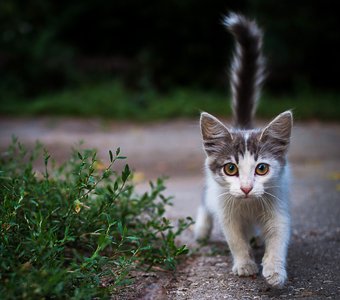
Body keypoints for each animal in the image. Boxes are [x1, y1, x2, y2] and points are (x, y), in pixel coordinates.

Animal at [194, 12, 292, 288]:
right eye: (230, 168)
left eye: (261, 168)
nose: (247, 188)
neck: (249, 206)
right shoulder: (227, 210)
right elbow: (235, 238)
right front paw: (245, 264)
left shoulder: (278, 204)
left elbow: (278, 237)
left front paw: (274, 270)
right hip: (212, 193)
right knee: (205, 201)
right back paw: (202, 230)